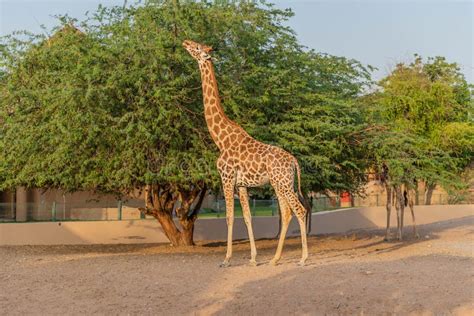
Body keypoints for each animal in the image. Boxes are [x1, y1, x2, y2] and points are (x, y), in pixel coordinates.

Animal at [183, 39, 310, 266]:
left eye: (197, 48)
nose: (185, 42)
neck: (220, 139)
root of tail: (294, 161)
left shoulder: (226, 177)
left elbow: (229, 216)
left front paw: (226, 258)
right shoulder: (241, 184)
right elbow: (248, 217)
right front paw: (253, 258)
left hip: (283, 183)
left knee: (299, 209)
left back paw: (303, 258)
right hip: (281, 183)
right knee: (287, 212)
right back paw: (275, 259)